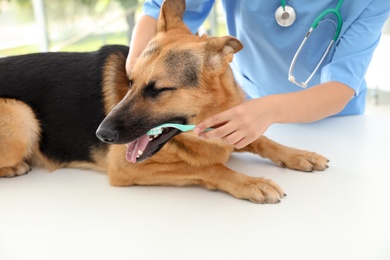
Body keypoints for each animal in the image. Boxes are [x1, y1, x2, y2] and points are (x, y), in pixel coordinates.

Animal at [0, 0, 330, 203]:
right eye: (130, 82)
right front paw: (249, 182)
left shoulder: (232, 128)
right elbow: (212, 168)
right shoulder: (126, 169)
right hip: (21, 115)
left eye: (157, 90)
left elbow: (261, 139)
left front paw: (298, 154)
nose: (101, 135)